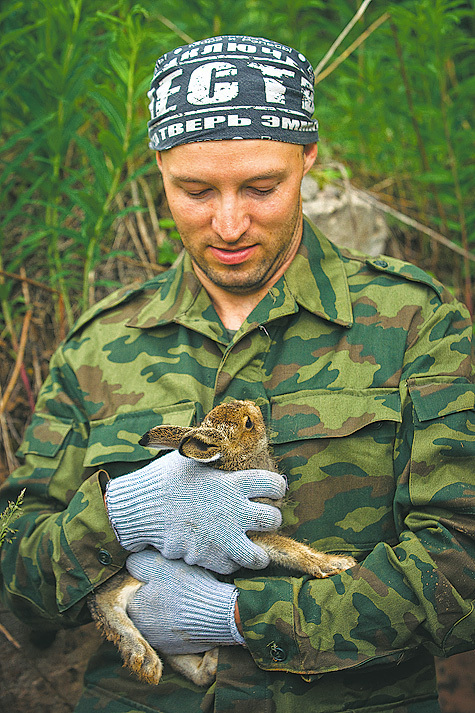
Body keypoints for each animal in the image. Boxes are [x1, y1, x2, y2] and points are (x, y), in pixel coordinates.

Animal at [89, 400, 356, 684]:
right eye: (248, 423)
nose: (254, 406)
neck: (239, 460)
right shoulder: (252, 534)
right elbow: (292, 550)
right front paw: (337, 563)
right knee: (106, 599)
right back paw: (144, 660)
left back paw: (209, 662)